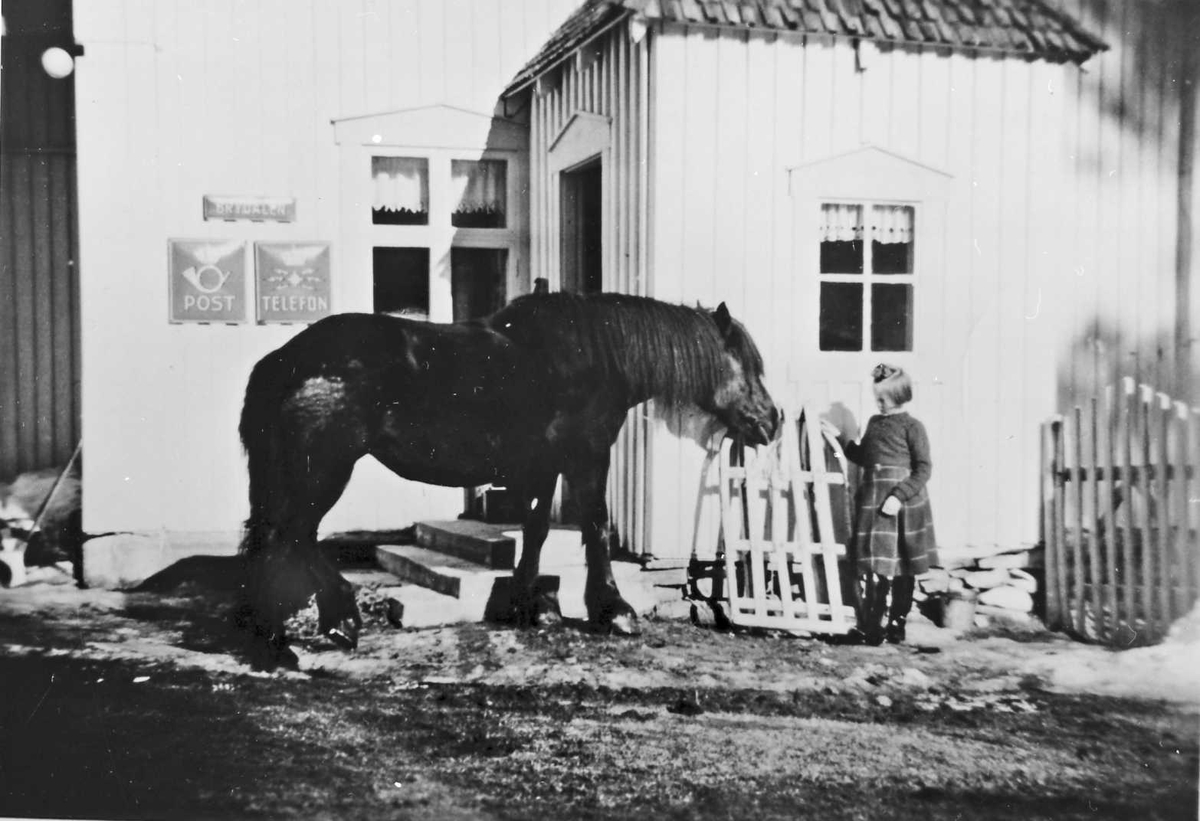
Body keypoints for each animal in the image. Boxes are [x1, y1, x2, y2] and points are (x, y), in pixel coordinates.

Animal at [236, 291, 777, 672]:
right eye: (747, 366)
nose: (773, 421)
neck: (593, 356)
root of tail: (287, 357)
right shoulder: (587, 457)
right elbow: (596, 526)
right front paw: (612, 609)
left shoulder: (546, 466)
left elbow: (536, 530)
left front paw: (528, 604)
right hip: (322, 470)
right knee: (292, 538)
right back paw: (330, 625)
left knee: (280, 540)